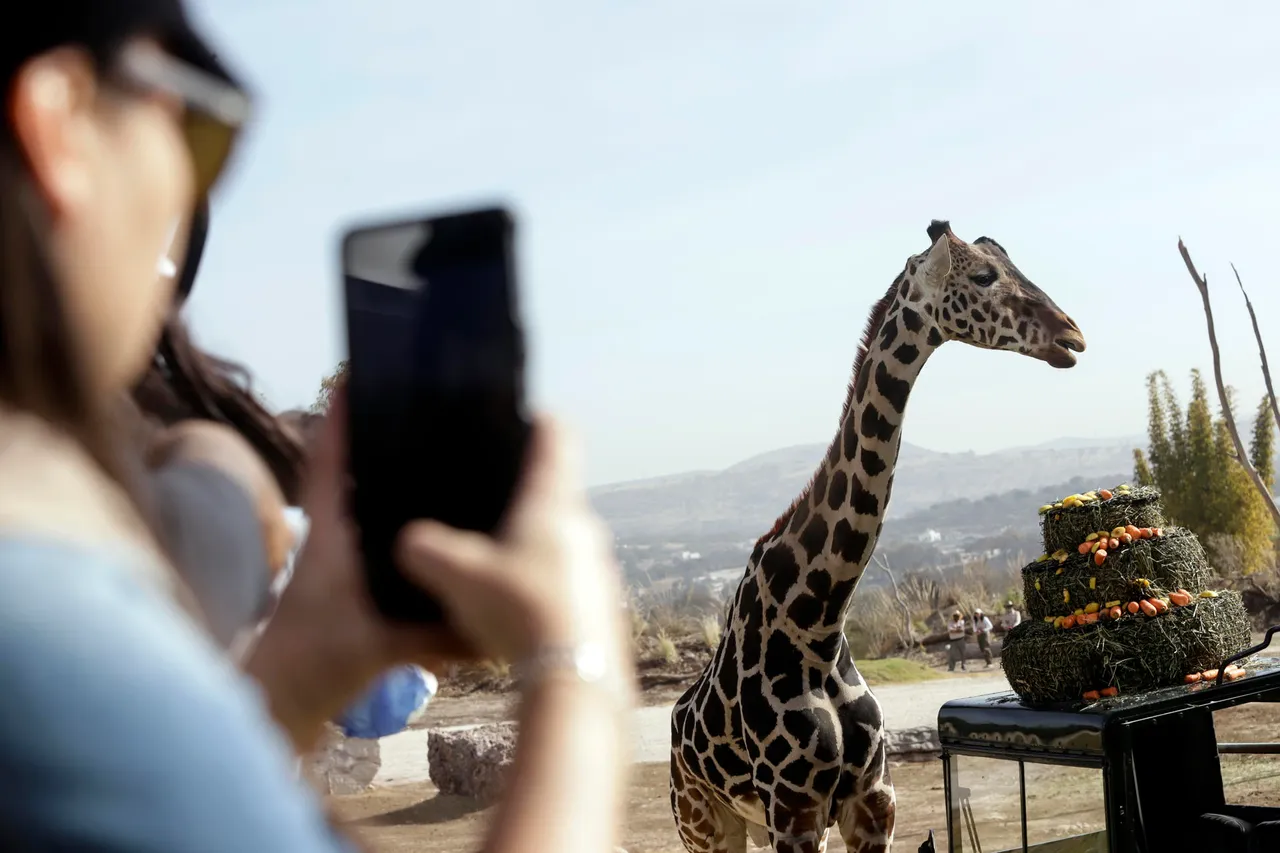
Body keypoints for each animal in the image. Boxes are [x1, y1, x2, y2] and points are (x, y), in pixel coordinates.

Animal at [669, 219, 1086, 853]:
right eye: (983, 276)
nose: (1073, 335)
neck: (817, 623)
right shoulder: (794, 808)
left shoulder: (873, 801)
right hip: (704, 823)